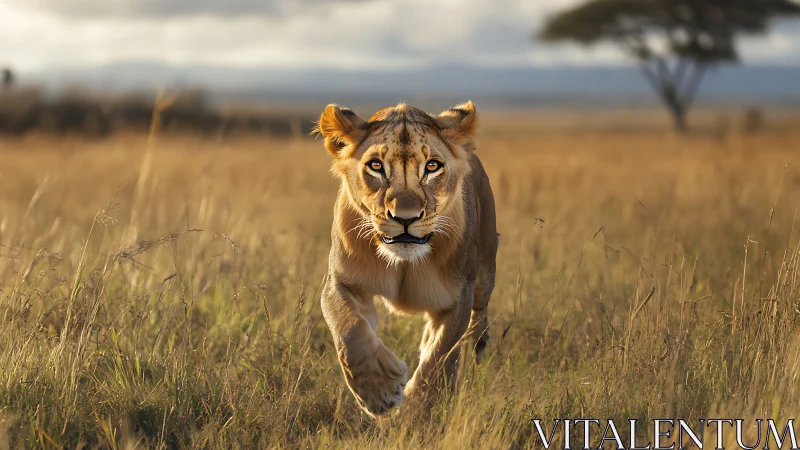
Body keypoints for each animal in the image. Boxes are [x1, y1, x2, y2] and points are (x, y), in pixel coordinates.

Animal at [315, 101, 498, 416]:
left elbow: (440, 355)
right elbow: (349, 330)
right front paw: (378, 392)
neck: (404, 263)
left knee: (478, 316)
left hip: (485, 271)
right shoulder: (341, 283)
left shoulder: (457, 296)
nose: (405, 218)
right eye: (376, 166)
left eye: (432, 166)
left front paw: (416, 411)